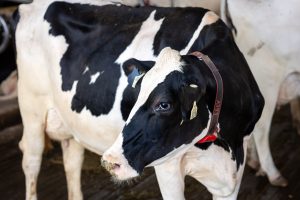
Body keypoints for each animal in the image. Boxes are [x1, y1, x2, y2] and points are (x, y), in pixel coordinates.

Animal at [16, 0, 264, 200]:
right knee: (31, 160)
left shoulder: (236, 164)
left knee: (72, 162)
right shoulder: (167, 166)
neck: (225, 142)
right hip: (31, 108)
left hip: (70, 121)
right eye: (136, 95)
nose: (110, 161)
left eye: (164, 104)